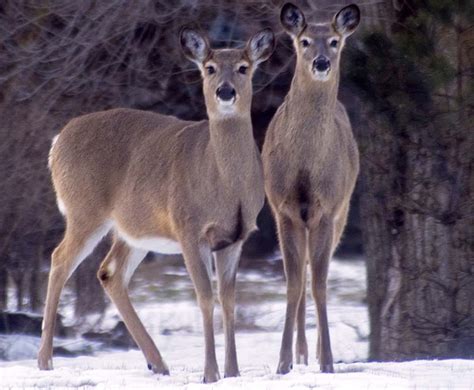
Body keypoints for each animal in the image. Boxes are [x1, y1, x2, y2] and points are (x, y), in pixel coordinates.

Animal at [39, 27, 276, 384]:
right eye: (209, 68)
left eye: (243, 68)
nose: (225, 91)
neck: (225, 184)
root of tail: (56, 143)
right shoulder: (189, 228)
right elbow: (205, 297)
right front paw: (210, 374)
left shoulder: (235, 237)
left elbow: (229, 299)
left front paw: (233, 372)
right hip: (85, 210)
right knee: (59, 260)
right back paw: (46, 361)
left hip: (133, 229)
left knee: (109, 272)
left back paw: (158, 363)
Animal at [262, 3, 360, 374]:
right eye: (304, 41)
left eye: (334, 41)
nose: (321, 62)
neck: (305, 165)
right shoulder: (284, 210)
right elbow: (293, 285)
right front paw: (283, 362)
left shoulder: (327, 210)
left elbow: (320, 285)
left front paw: (328, 361)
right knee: (301, 277)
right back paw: (301, 353)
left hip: (343, 211)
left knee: (316, 276)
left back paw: (313, 352)